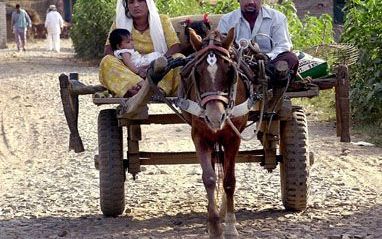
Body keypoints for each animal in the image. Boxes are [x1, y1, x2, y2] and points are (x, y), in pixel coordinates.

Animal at [181, 27, 251, 237]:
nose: (215, 116)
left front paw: (229, 225)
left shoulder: (233, 139)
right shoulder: (199, 137)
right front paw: (213, 226)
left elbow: (229, 180)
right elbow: (210, 178)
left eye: (229, 71)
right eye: (197, 72)